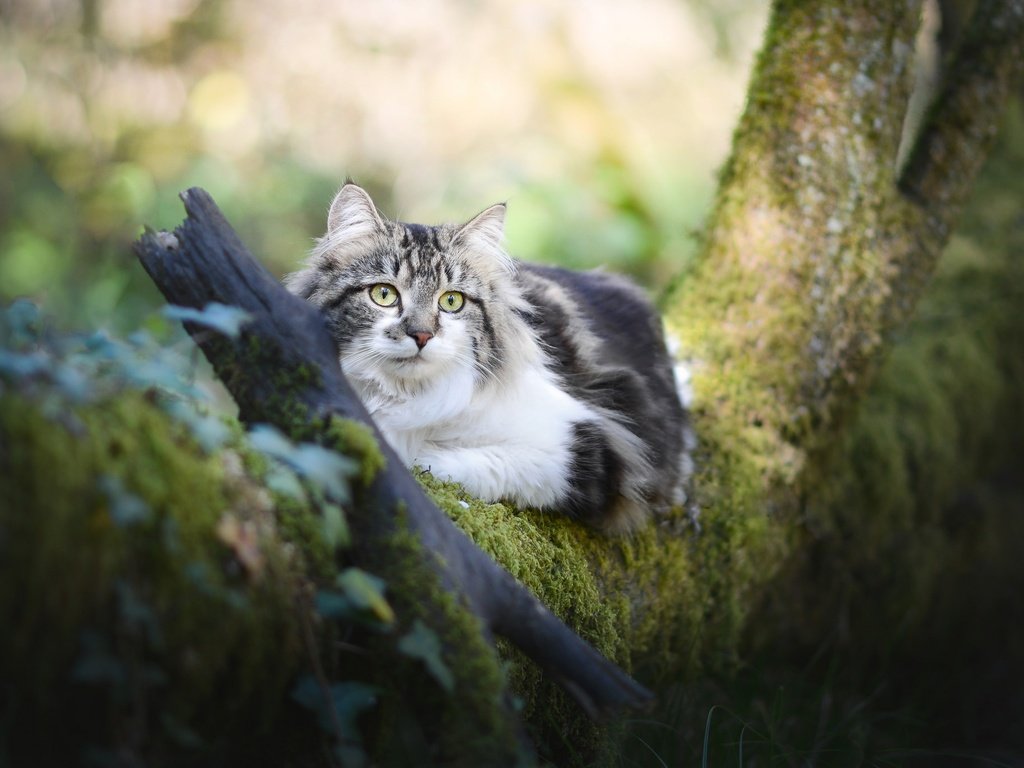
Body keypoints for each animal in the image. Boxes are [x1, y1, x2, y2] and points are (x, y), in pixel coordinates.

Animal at [284, 185, 692, 536]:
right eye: (384, 295)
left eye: (451, 301)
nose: (421, 336)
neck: (406, 398)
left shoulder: (578, 444)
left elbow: (443, 461)